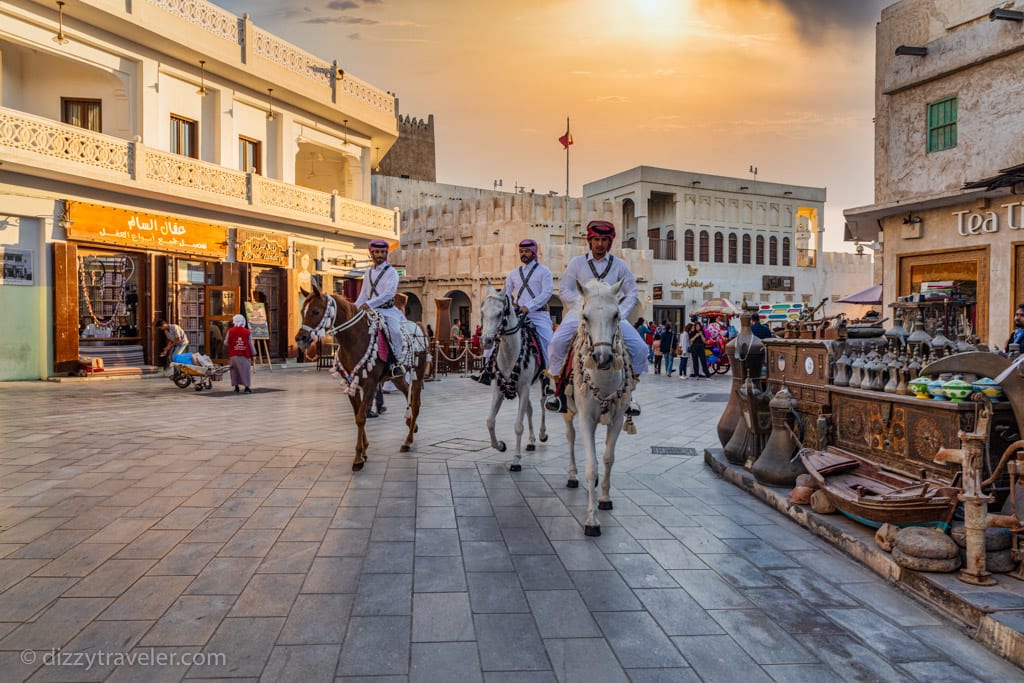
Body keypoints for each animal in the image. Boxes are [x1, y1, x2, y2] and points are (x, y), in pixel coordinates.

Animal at [296, 282, 428, 471]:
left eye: (315, 311)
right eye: (302, 311)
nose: (300, 338)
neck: (354, 340)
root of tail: (418, 325)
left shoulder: (370, 384)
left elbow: (361, 417)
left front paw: (358, 457)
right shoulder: (350, 383)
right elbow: (358, 415)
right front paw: (364, 450)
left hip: (417, 374)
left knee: (416, 403)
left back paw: (408, 441)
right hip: (397, 377)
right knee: (407, 396)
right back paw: (411, 425)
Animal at [483, 282, 548, 471]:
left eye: (499, 313)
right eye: (482, 311)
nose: (486, 341)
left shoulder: (525, 388)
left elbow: (518, 425)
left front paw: (516, 460)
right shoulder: (499, 389)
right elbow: (490, 421)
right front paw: (500, 446)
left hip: (542, 381)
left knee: (542, 404)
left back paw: (541, 434)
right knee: (530, 409)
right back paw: (532, 441)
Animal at [565, 278, 634, 532]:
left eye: (616, 315)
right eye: (585, 316)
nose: (602, 357)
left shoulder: (617, 419)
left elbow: (607, 458)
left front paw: (604, 498)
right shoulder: (586, 418)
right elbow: (591, 465)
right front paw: (591, 520)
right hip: (569, 412)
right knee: (571, 437)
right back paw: (572, 476)